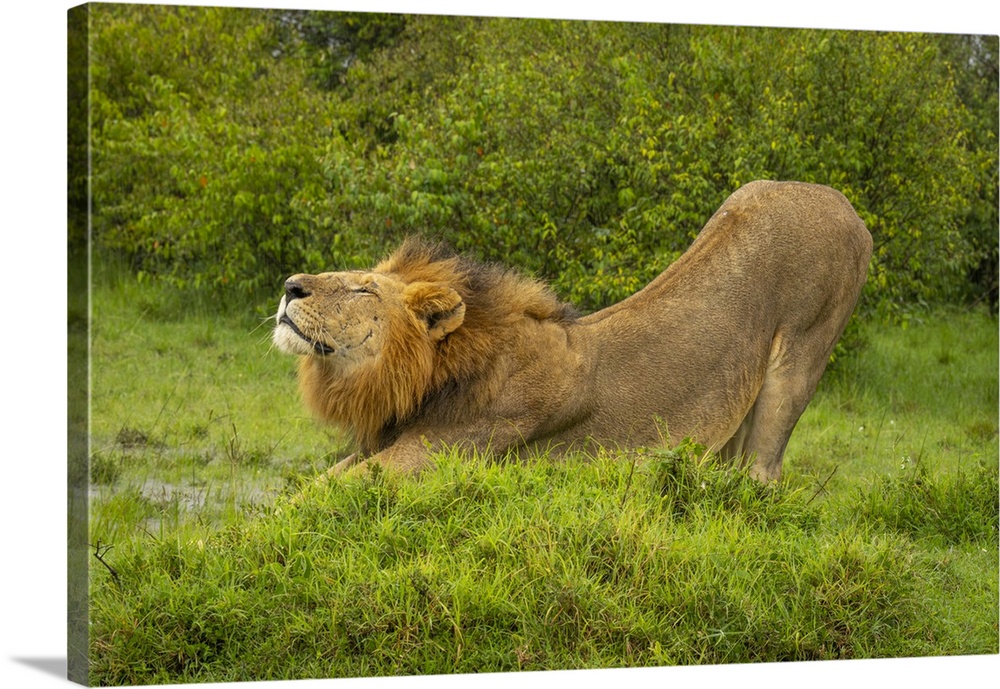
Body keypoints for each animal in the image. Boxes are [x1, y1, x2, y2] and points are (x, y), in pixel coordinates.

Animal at [273, 180, 872, 483]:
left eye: (362, 290)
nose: (289, 286)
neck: (432, 377)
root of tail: (844, 203)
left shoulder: (440, 452)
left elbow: (328, 492)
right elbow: (312, 484)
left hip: (800, 359)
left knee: (763, 470)